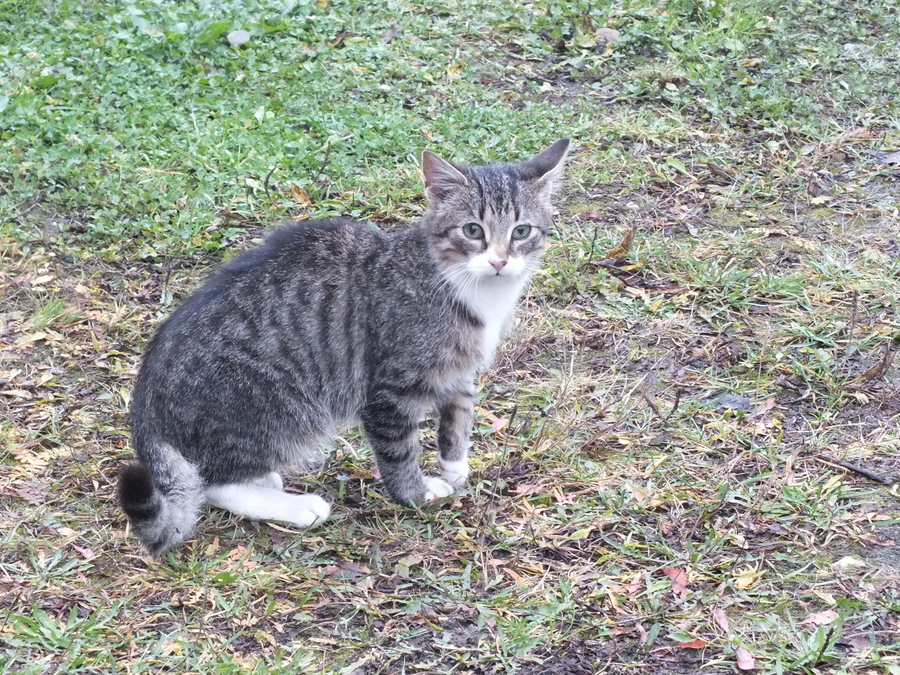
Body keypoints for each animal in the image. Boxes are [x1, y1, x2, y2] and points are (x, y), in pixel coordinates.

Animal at [119, 137, 568, 556]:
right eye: (473, 230)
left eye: (521, 231)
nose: (499, 262)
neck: (467, 287)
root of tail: (145, 408)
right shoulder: (388, 390)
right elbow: (398, 451)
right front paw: (417, 493)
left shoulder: (460, 372)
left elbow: (458, 420)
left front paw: (456, 468)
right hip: (284, 405)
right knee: (214, 483)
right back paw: (296, 507)